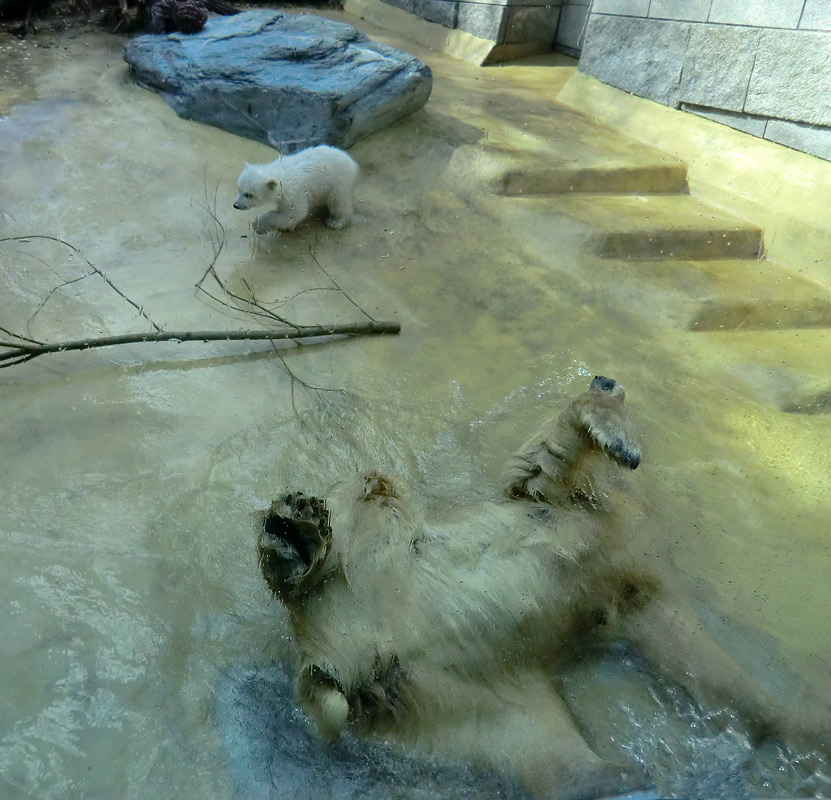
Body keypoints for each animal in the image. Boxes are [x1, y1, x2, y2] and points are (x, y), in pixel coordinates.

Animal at [256, 376, 828, 800]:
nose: (606, 376)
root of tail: (342, 661)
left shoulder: (641, 584)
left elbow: (692, 654)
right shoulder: (565, 501)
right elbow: (540, 459)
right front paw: (615, 432)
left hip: (467, 695)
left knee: (539, 748)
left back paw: (622, 776)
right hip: (386, 589)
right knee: (361, 507)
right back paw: (297, 534)